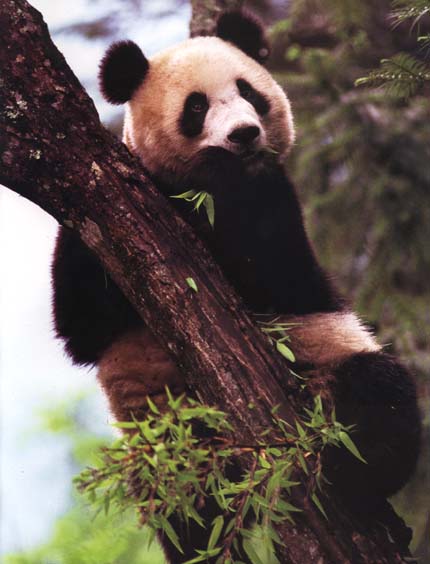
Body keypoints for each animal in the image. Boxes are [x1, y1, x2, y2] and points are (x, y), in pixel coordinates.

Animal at [52, 9, 422, 564]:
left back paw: (355, 473)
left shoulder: (276, 204)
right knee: (184, 505)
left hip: (326, 363)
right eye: (196, 106)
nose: (244, 134)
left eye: (249, 91)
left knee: (380, 393)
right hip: (167, 436)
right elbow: (81, 325)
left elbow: (275, 276)